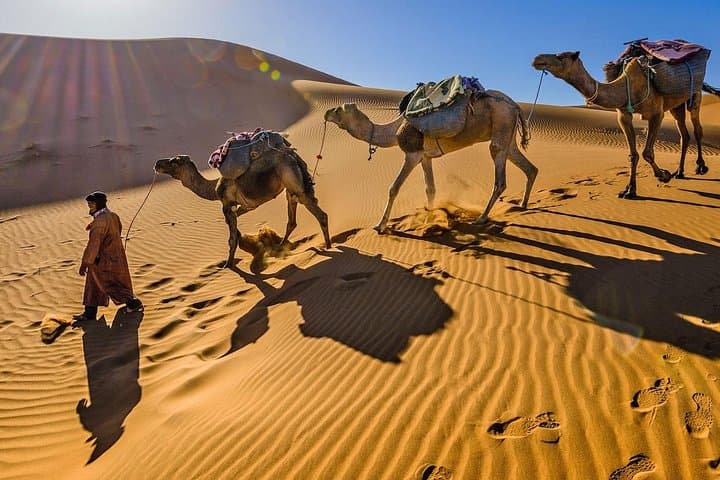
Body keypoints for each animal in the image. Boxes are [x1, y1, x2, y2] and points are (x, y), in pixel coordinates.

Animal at [154, 139, 331, 270]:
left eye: (174, 162)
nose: (157, 164)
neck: (214, 188)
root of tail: (293, 156)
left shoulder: (226, 205)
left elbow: (231, 238)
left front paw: (227, 265)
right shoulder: (245, 206)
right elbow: (236, 222)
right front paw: (243, 240)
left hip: (293, 183)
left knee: (320, 215)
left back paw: (328, 247)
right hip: (290, 188)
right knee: (292, 219)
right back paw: (280, 247)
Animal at [324, 91, 538, 233]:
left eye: (339, 109)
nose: (326, 112)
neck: (394, 130)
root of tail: (515, 106)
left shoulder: (412, 154)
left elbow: (393, 188)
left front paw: (380, 225)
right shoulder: (425, 157)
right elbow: (430, 189)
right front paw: (430, 218)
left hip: (501, 124)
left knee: (500, 176)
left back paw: (481, 218)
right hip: (508, 135)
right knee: (530, 167)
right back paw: (522, 205)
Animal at [532, 51, 719, 198]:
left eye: (561, 56)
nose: (537, 59)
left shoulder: (656, 113)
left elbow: (647, 153)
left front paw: (664, 176)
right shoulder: (623, 115)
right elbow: (633, 155)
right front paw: (629, 190)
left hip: (694, 95)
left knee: (697, 129)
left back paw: (701, 167)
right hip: (676, 106)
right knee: (684, 135)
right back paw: (680, 172)